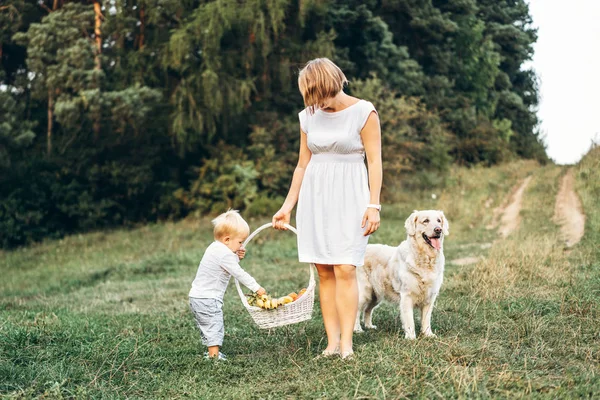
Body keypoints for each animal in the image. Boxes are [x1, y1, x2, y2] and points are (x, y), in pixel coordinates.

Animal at [354, 211, 448, 340]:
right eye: (426, 221)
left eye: (439, 220)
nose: (438, 230)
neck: (425, 259)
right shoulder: (407, 296)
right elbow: (409, 320)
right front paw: (411, 338)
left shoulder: (430, 297)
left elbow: (426, 319)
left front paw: (428, 334)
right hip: (364, 292)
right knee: (356, 311)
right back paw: (357, 330)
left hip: (376, 295)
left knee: (368, 310)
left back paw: (369, 326)